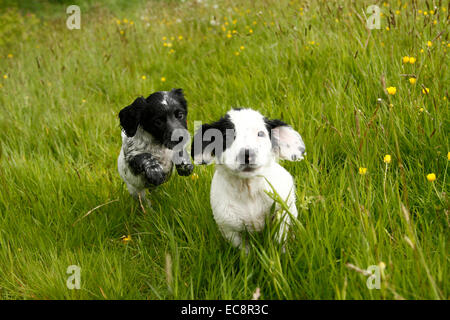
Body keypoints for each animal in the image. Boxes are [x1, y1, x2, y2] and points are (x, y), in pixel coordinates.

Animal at [192, 107, 304, 250]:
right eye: (225, 136)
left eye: (260, 134)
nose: (246, 154)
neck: (249, 190)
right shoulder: (229, 230)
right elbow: (245, 251)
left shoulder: (284, 210)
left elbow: (280, 238)